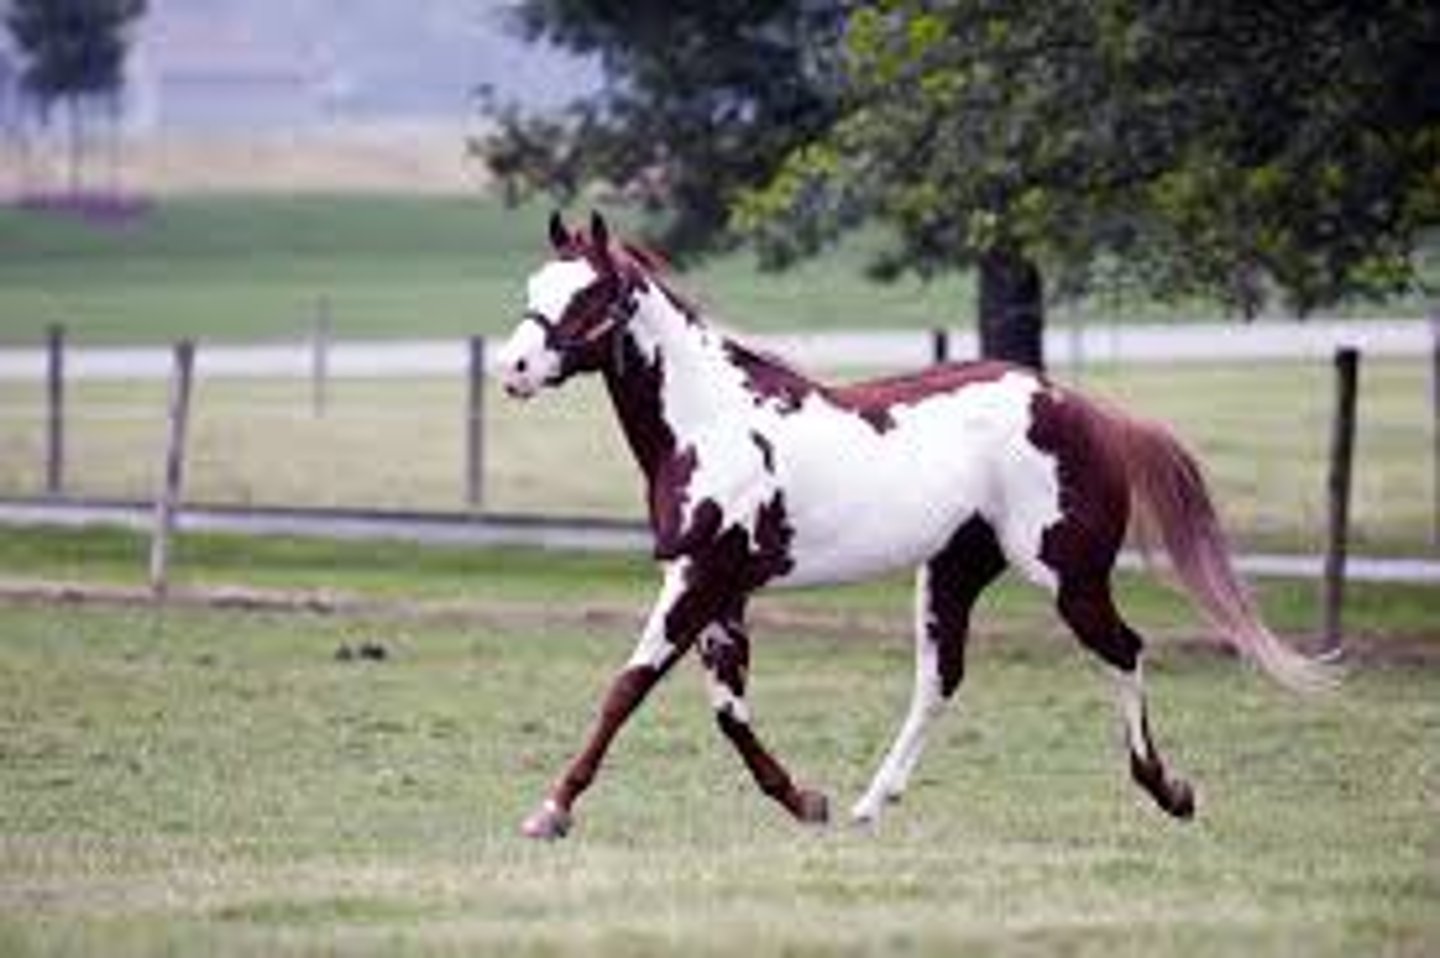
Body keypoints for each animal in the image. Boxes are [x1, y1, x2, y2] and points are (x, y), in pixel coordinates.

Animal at [497, 211, 1334, 841]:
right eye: (537, 286)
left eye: (593, 292)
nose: (513, 369)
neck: (714, 422)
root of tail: (1084, 408)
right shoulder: (719, 587)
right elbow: (728, 712)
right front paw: (806, 801)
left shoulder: (700, 579)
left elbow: (626, 688)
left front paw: (551, 810)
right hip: (951, 574)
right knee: (941, 679)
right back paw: (870, 805)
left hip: (1068, 577)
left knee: (1123, 651)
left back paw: (1169, 791)